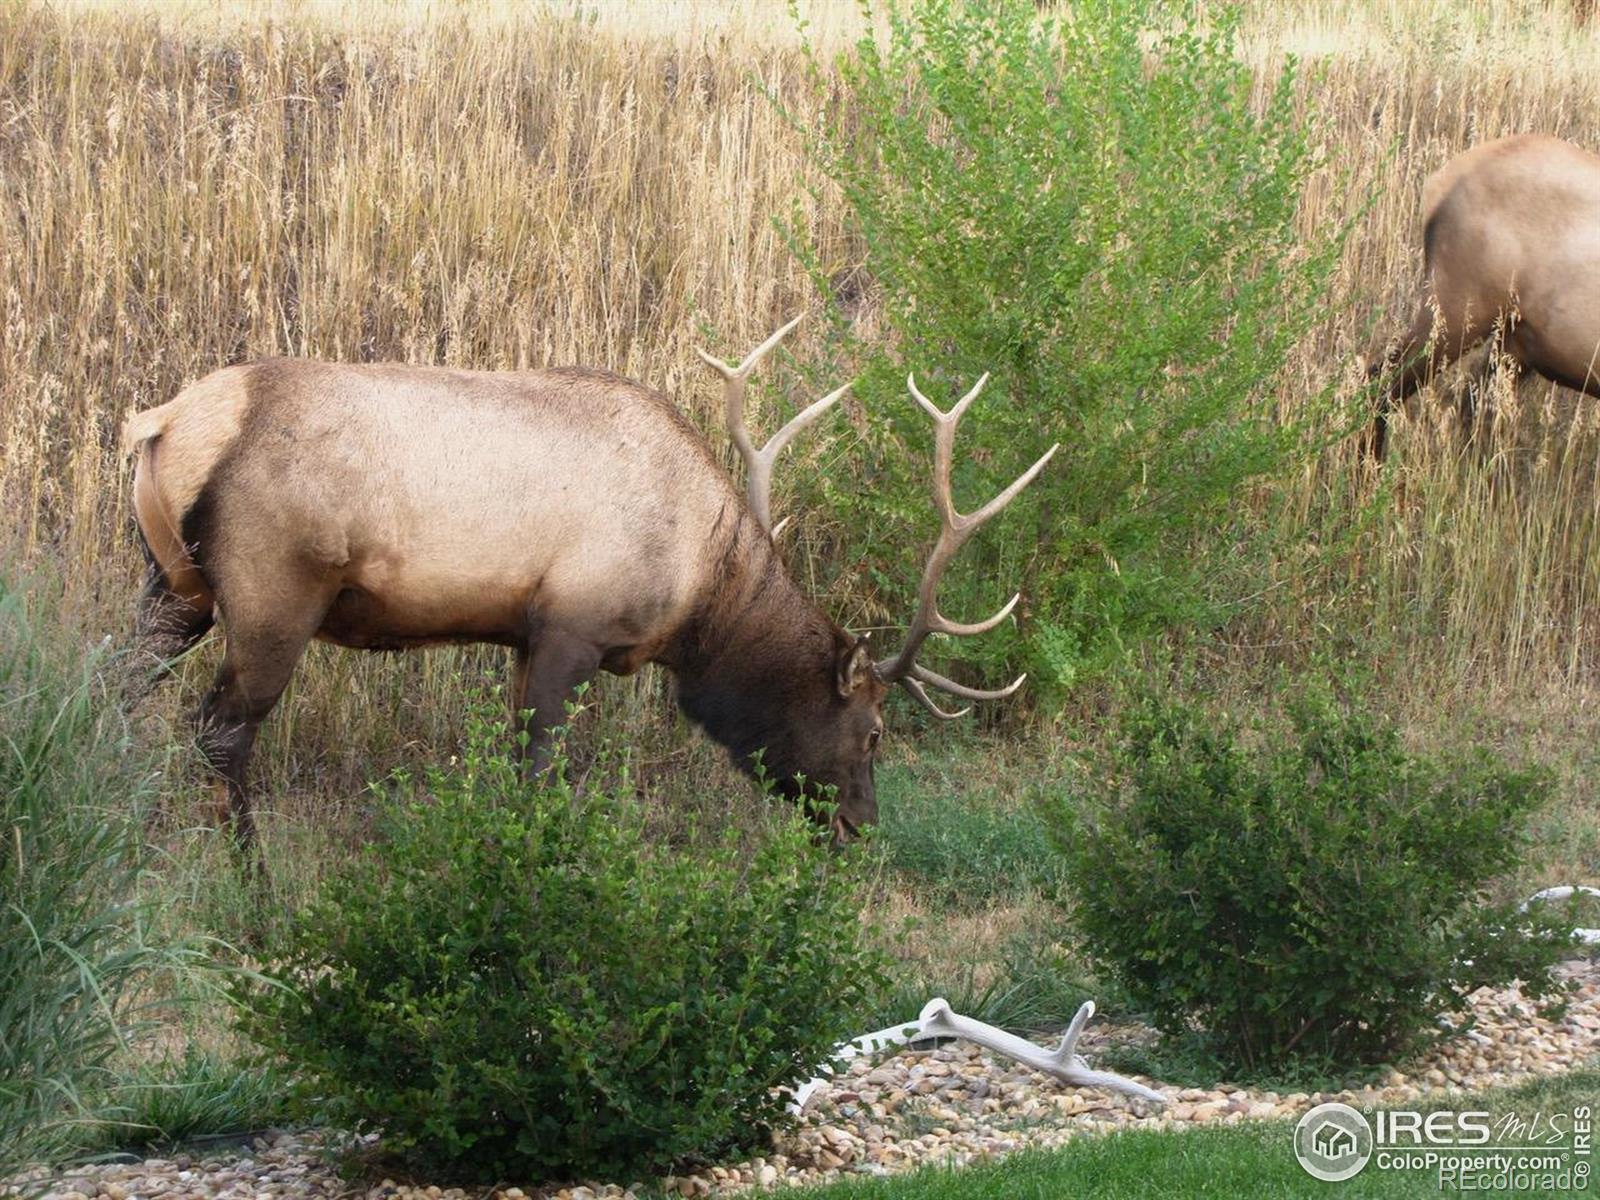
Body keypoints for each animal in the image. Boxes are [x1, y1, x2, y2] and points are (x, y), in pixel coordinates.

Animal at [123, 318, 1058, 874]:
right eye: (872, 732)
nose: (861, 825)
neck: (695, 593)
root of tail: (163, 424)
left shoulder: (520, 637)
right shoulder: (570, 625)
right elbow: (539, 770)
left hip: (173, 585)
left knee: (113, 688)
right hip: (273, 590)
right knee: (220, 730)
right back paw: (253, 886)